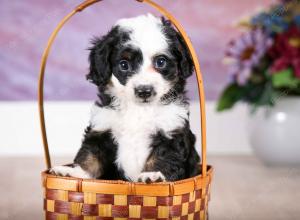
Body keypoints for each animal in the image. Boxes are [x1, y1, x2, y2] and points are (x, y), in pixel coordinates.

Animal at [50, 13, 200, 182]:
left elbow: (163, 156)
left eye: (161, 62)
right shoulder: (101, 128)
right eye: (124, 65)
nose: (144, 91)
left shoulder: (171, 130)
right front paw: (75, 172)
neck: (139, 109)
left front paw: (152, 174)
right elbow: (90, 155)